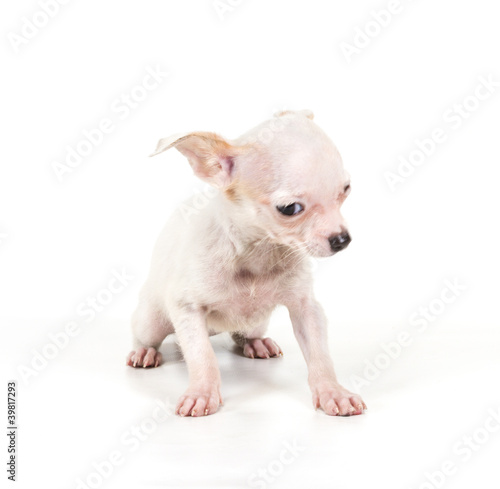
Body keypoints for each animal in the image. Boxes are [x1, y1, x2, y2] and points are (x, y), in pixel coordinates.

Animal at [125, 109, 368, 416]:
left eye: (346, 190)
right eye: (290, 209)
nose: (342, 239)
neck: (258, 251)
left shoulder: (307, 309)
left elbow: (319, 354)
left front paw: (332, 392)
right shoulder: (186, 309)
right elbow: (202, 355)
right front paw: (202, 392)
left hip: (256, 323)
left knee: (242, 334)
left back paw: (256, 344)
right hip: (151, 320)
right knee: (147, 335)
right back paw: (144, 351)